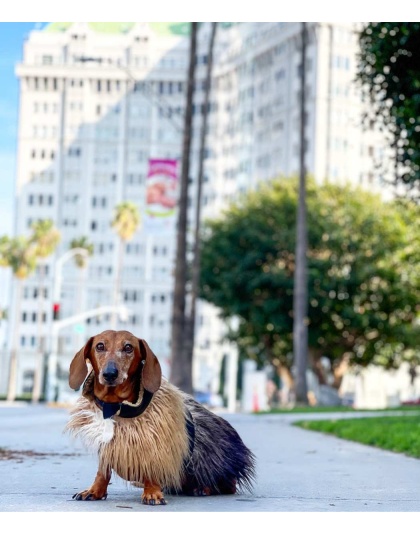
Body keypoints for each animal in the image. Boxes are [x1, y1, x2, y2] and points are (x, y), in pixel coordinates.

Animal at [65, 330, 256, 506]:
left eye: (128, 347)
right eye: (100, 346)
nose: (110, 374)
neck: (117, 406)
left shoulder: (156, 441)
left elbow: (153, 466)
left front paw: (152, 492)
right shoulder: (108, 445)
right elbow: (103, 471)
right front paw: (94, 491)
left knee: (227, 485)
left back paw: (203, 488)